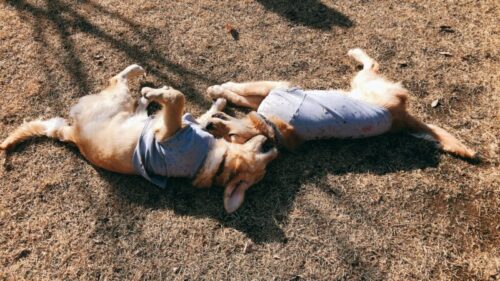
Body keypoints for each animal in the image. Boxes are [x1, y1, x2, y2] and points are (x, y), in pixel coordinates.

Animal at [0, 64, 278, 212]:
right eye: (265, 152)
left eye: (264, 160)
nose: (272, 142)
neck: (213, 158)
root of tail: (72, 134)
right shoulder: (185, 124)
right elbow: (196, 111)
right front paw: (218, 102)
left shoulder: (169, 133)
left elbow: (178, 97)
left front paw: (158, 92)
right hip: (130, 110)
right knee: (138, 103)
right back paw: (147, 91)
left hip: (116, 99)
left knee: (117, 80)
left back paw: (142, 81)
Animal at [206, 48, 476, 160]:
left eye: (230, 136)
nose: (208, 125)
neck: (271, 126)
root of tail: (401, 117)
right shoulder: (266, 96)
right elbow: (241, 96)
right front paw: (221, 91)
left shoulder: (275, 87)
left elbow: (243, 88)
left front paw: (218, 87)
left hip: (365, 82)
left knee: (373, 64)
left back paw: (355, 52)